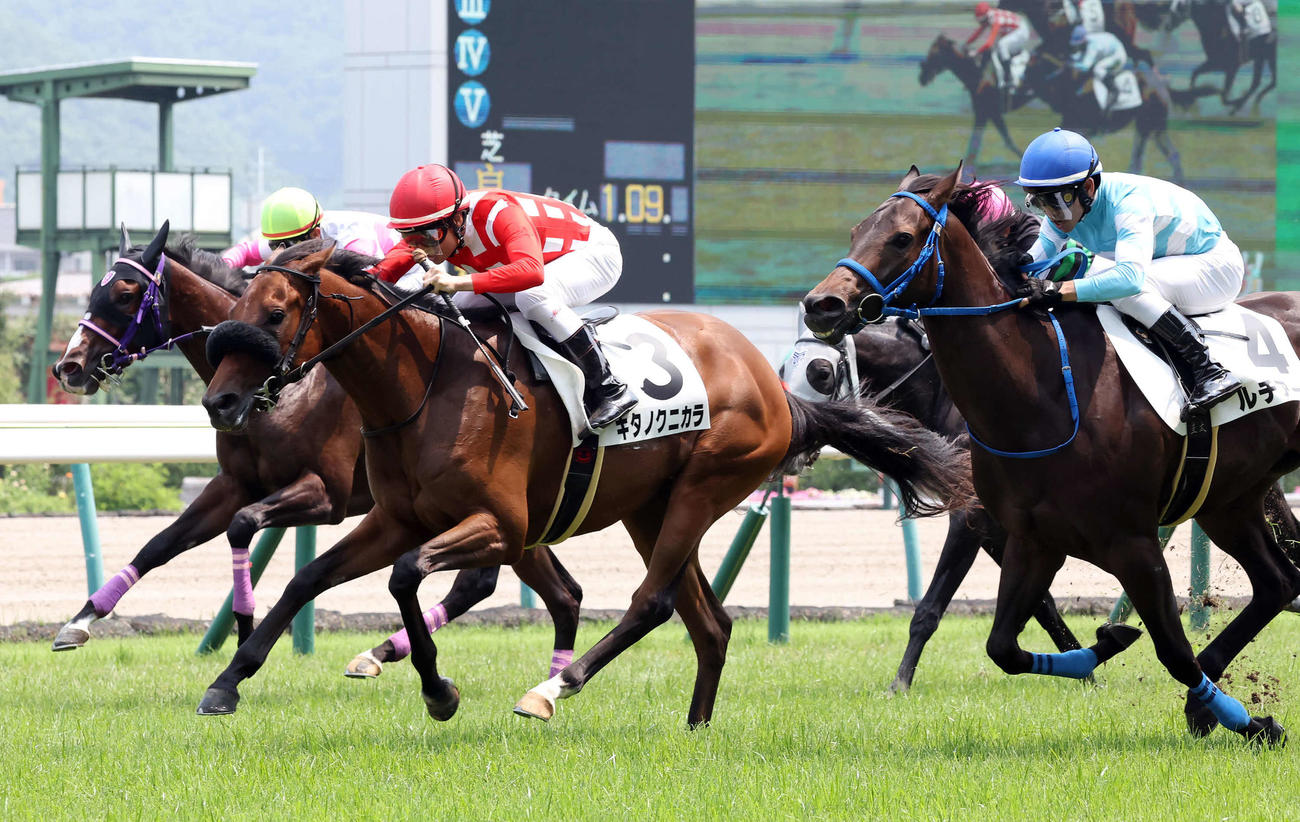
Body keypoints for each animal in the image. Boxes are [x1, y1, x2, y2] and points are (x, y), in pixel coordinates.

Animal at [50, 224, 586, 687]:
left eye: (124, 294)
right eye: (93, 292)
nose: (69, 366)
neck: (283, 391)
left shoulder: (325, 494)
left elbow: (243, 524)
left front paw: (246, 627)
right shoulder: (235, 483)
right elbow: (161, 544)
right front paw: (81, 620)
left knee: (480, 582)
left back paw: (382, 653)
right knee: (551, 588)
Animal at [195, 240, 974, 725]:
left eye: (274, 314)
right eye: (233, 312)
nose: (221, 403)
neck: (424, 384)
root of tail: (777, 387)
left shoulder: (498, 525)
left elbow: (407, 576)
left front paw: (440, 691)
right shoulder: (394, 519)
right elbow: (309, 579)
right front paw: (227, 681)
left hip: (704, 487)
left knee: (653, 603)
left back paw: (551, 689)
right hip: (650, 509)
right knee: (710, 621)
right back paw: (694, 728)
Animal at [801, 163, 1300, 745]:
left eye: (902, 238)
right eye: (856, 230)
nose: (821, 305)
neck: (1042, 393)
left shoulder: (1130, 542)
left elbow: (1174, 653)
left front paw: (1251, 721)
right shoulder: (1031, 539)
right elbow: (1003, 646)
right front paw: (1105, 647)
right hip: (1230, 502)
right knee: (1277, 582)